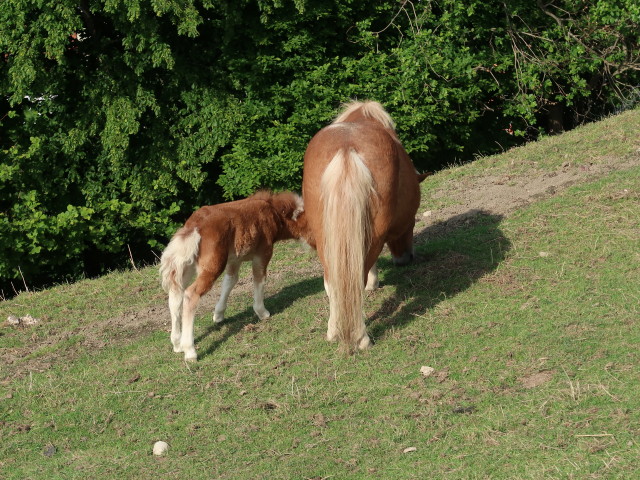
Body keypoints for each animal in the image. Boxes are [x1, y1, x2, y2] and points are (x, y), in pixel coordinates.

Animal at [162, 190, 308, 360]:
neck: (273, 212)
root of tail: (194, 225)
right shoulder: (262, 254)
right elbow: (259, 278)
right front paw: (262, 313)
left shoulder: (235, 259)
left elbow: (230, 281)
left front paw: (218, 315)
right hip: (212, 266)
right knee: (191, 294)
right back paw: (190, 350)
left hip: (187, 265)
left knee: (175, 295)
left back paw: (177, 344)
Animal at [302, 100, 428, 352]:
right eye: (412, 220)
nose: (406, 258)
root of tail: (346, 148)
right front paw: (373, 283)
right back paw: (361, 338)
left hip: (325, 239)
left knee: (333, 283)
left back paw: (334, 332)